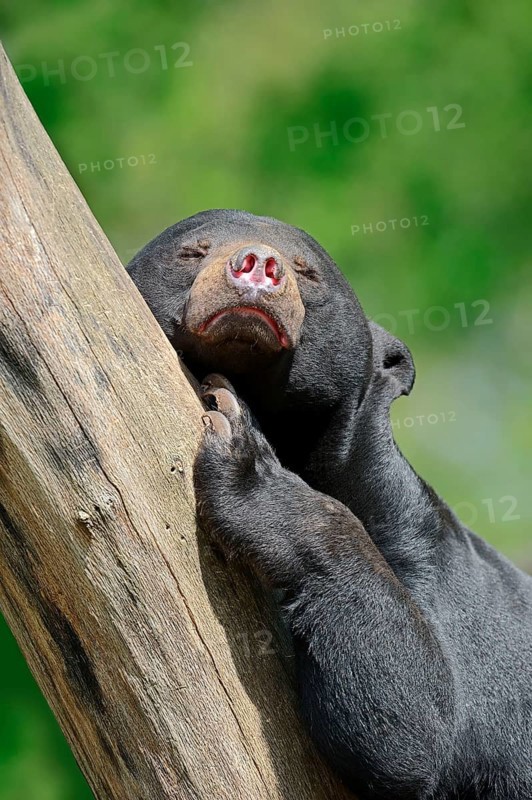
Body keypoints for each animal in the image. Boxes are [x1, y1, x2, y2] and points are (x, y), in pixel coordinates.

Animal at [127, 209, 532, 799]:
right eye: (192, 251)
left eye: (307, 271)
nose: (257, 264)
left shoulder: (429, 556)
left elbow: (412, 725)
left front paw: (247, 457)